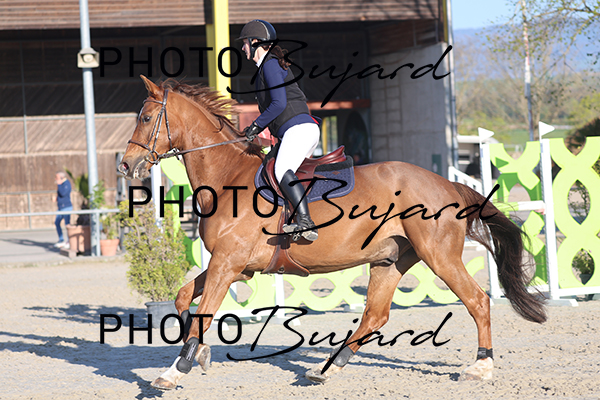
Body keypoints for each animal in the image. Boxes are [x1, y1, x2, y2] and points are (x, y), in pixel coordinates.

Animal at [117, 76, 546, 390]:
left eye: (145, 118)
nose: (126, 165)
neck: (228, 178)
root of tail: (447, 184)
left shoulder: (228, 264)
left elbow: (202, 313)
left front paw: (175, 370)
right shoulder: (233, 266)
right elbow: (182, 297)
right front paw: (199, 354)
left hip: (438, 256)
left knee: (477, 300)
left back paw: (480, 367)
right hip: (390, 260)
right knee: (375, 315)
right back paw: (328, 368)